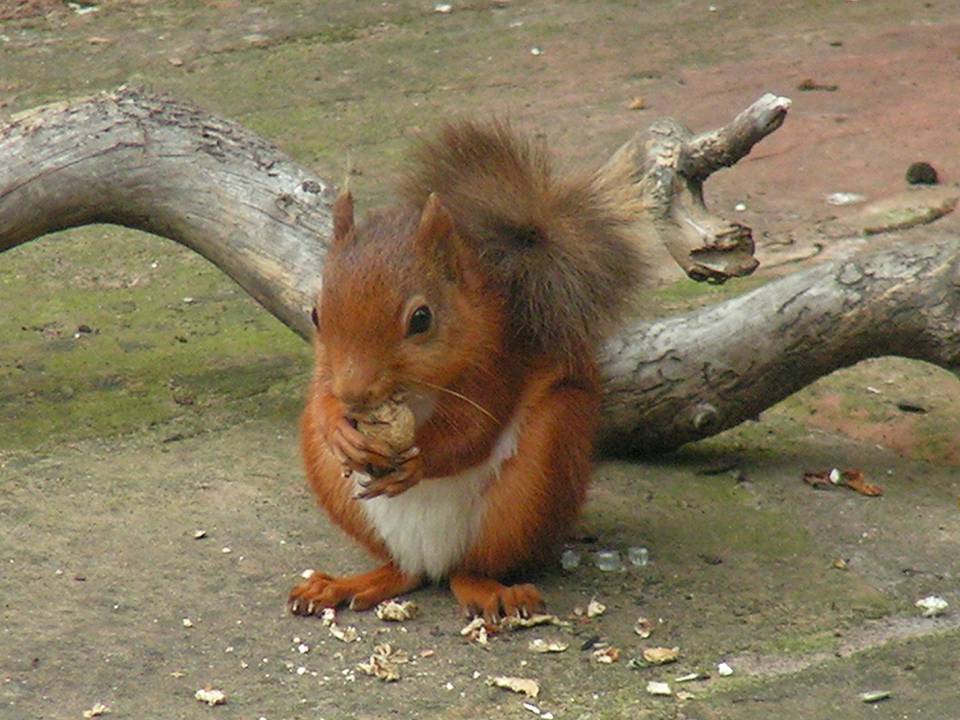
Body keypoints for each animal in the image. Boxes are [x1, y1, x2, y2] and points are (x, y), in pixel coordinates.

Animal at [288, 120, 645, 621]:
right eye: (316, 314)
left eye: (421, 319)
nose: (355, 395)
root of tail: (431, 557)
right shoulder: (327, 371)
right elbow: (321, 398)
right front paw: (339, 427)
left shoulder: (498, 360)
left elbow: (474, 432)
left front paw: (418, 460)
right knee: (403, 571)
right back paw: (347, 584)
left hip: (536, 478)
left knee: (473, 567)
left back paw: (493, 592)